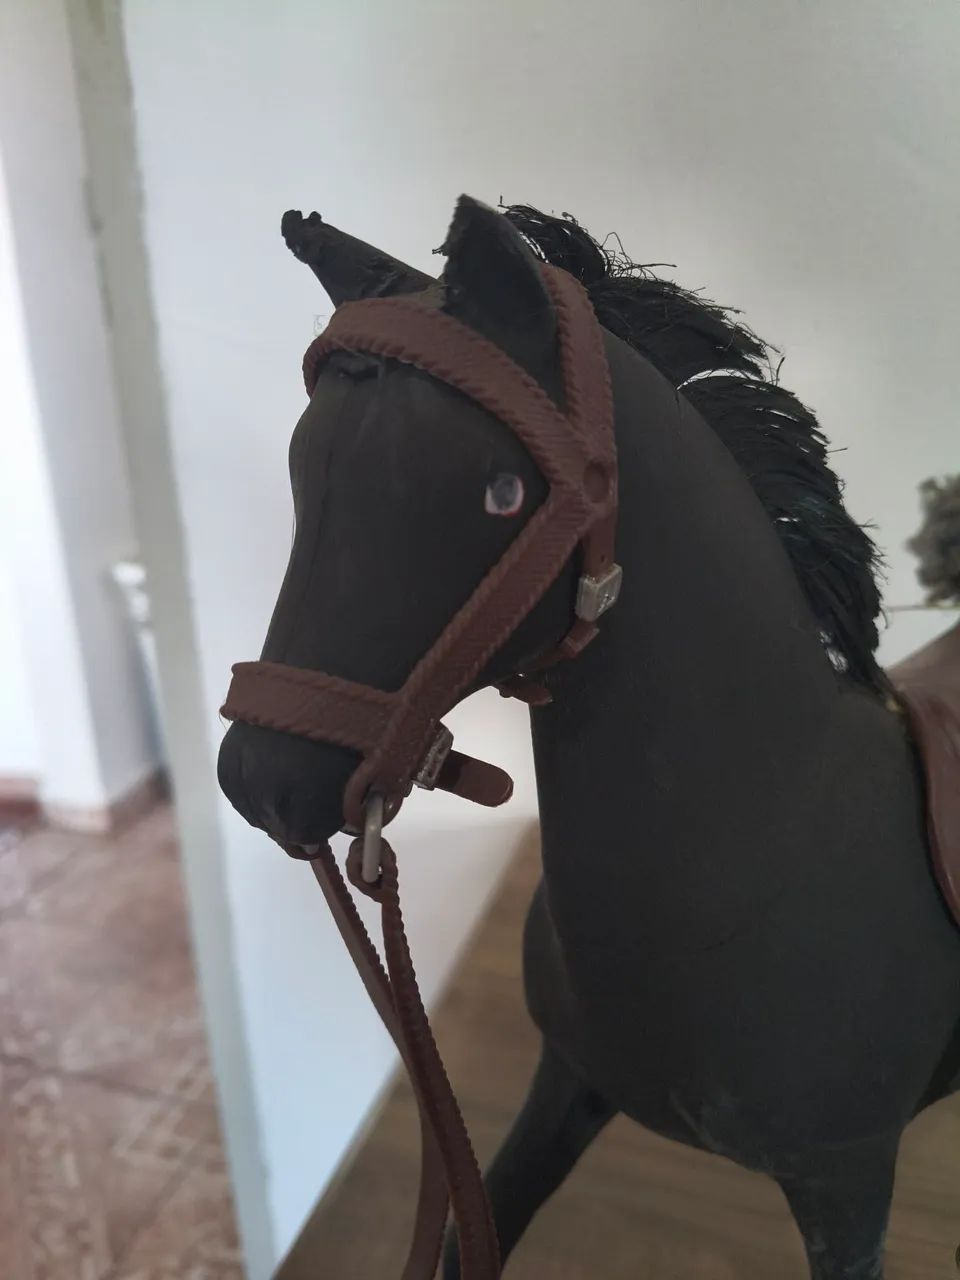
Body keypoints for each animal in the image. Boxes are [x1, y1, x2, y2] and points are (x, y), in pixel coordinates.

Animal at [217, 195, 960, 1280]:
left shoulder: (847, 1182)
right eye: (304, 467)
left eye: (501, 494)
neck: (773, 870)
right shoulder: (565, 1083)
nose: (261, 778)